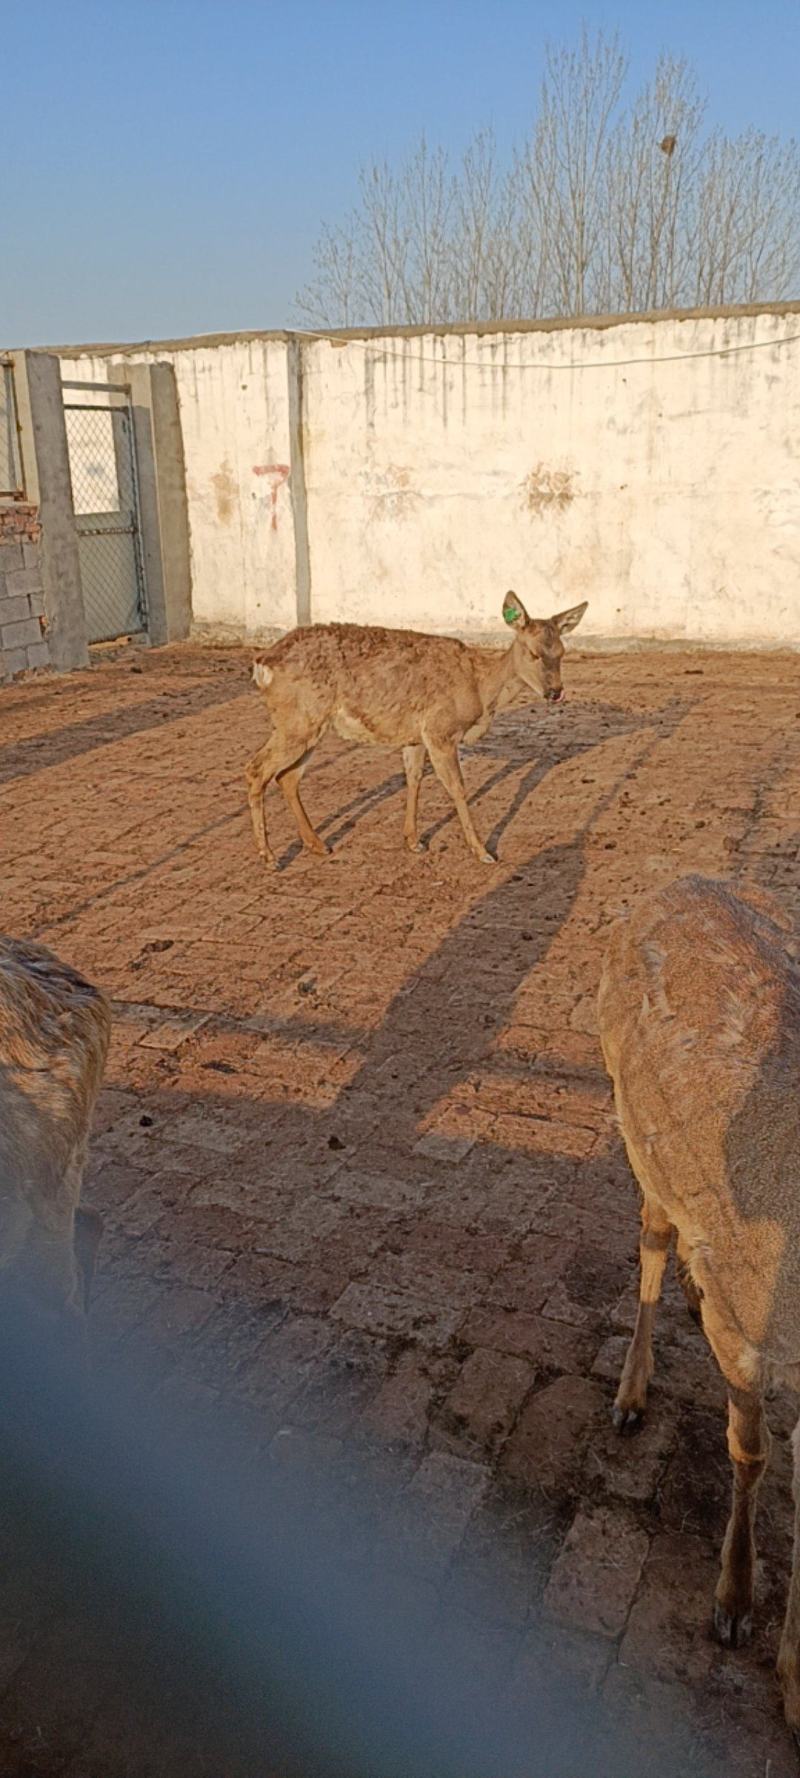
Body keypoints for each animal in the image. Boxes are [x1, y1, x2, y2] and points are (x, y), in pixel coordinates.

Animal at [245, 594, 588, 869]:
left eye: (562, 652)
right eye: (533, 653)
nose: (555, 692)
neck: (479, 690)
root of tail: (262, 664)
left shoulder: (415, 736)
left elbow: (414, 779)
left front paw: (413, 840)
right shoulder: (439, 730)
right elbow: (458, 788)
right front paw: (483, 852)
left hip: (307, 724)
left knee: (287, 776)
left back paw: (317, 844)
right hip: (298, 719)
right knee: (257, 768)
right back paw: (269, 856)